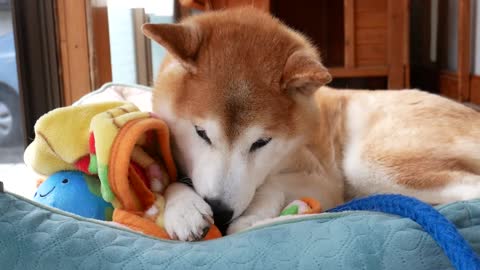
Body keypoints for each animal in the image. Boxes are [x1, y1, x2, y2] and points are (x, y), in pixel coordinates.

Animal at [142, 7, 480, 240]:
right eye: (201, 133)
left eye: (261, 142)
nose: (220, 211)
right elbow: (171, 179)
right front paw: (183, 207)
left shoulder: (325, 182)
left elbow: (272, 185)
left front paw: (252, 217)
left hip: (368, 165)